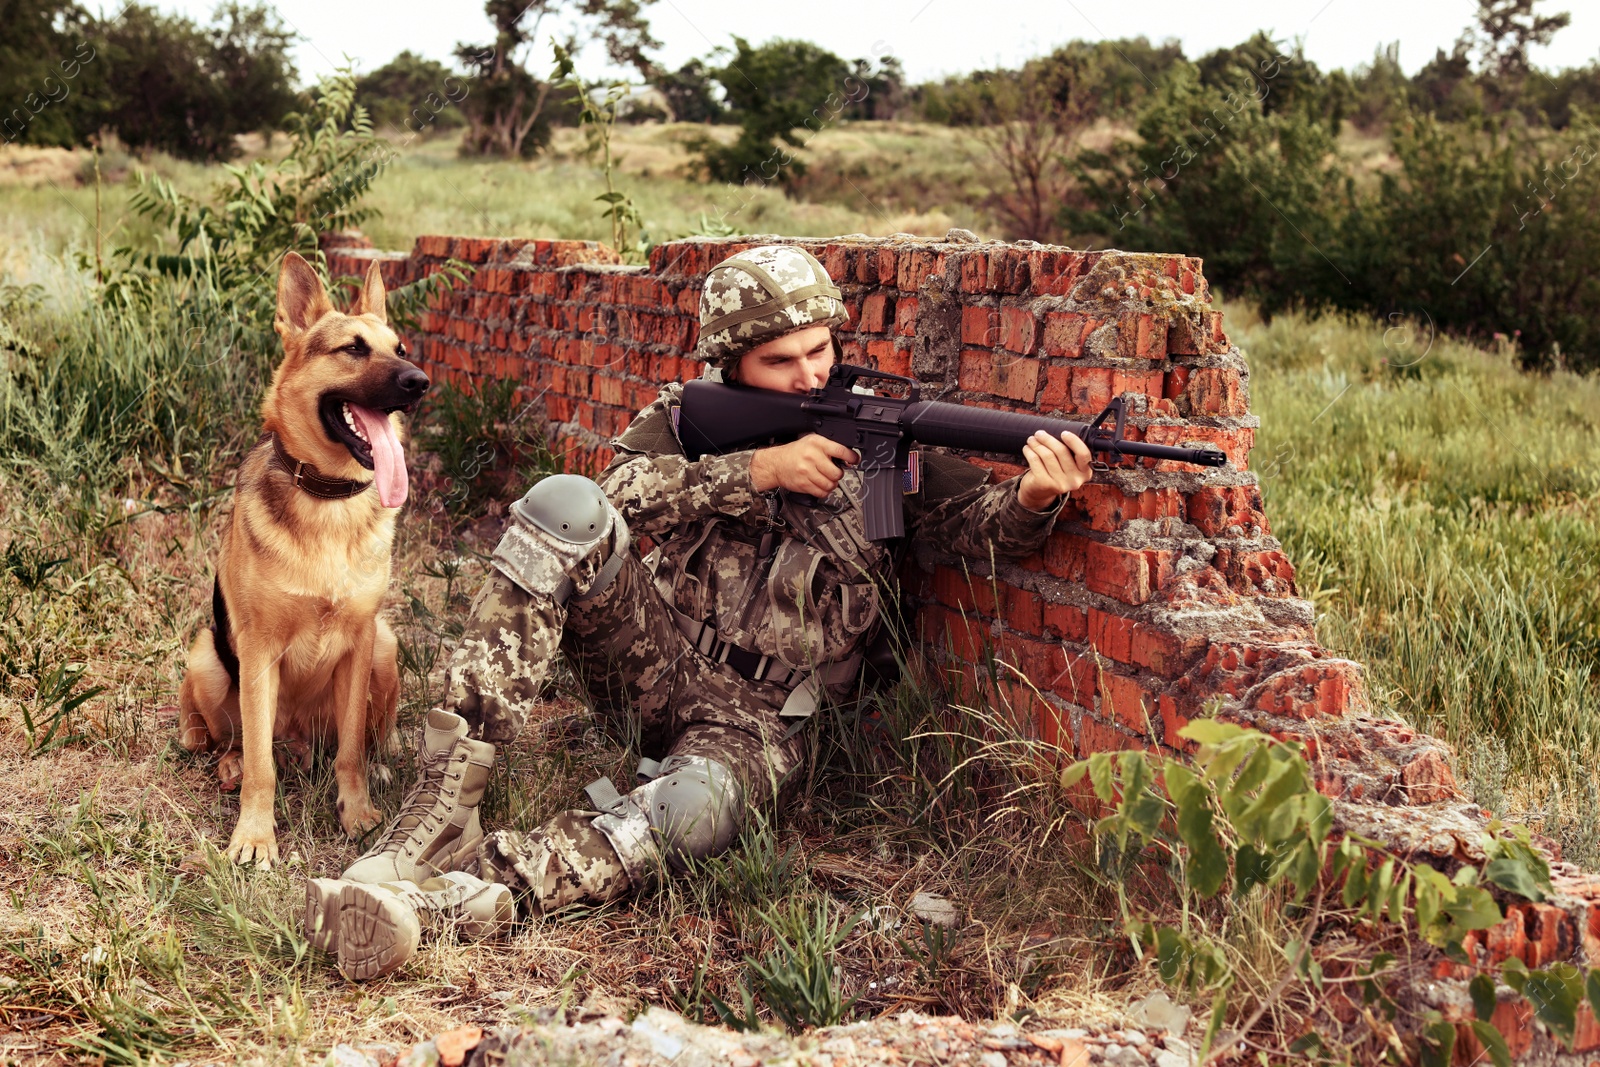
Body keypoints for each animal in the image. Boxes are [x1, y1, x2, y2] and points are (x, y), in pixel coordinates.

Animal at [180, 252, 428, 870]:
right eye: (353, 349)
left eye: (400, 348)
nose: (419, 383)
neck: (327, 501)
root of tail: (296, 739)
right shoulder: (258, 651)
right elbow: (261, 767)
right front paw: (254, 836)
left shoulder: (361, 641)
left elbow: (350, 751)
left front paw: (357, 811)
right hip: (206, 657)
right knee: (233, 741)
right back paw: (227, 760)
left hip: (386, 645)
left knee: (367, 735)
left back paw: (383, 760)